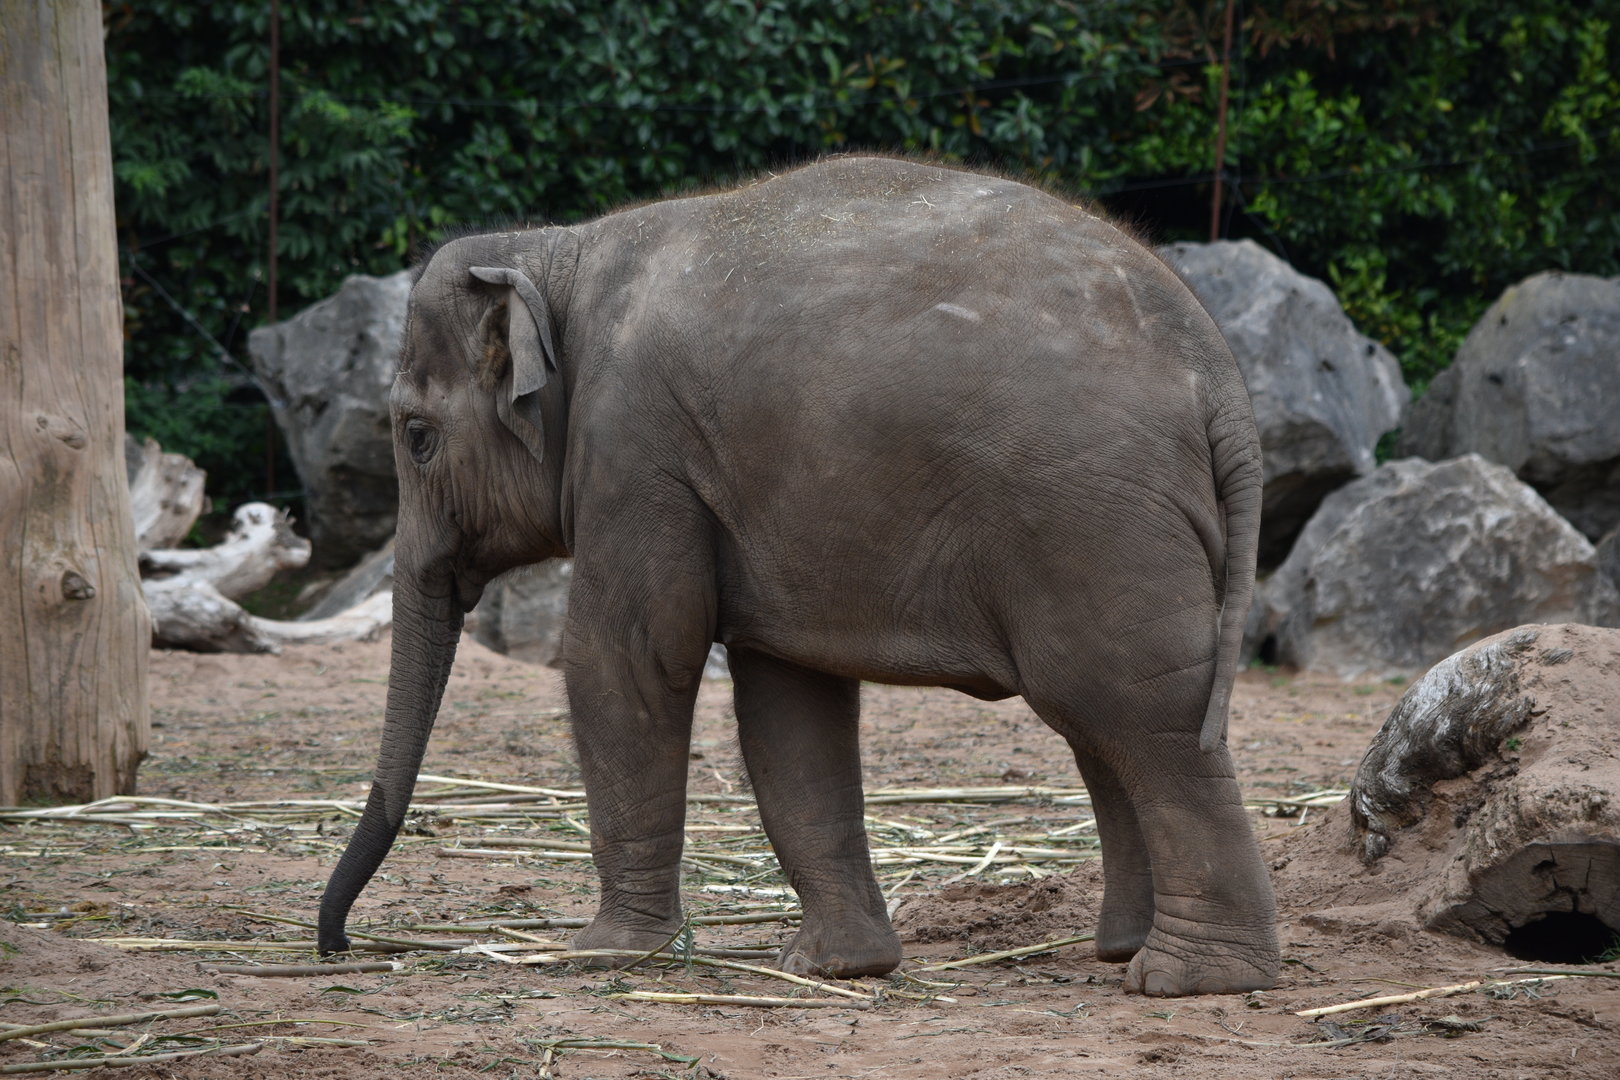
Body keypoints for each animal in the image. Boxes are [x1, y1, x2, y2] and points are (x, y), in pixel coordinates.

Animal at [317, 155, 1278, 996]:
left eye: (415, 436)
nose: (338, 945)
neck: (560, 251)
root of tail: (1219, 376)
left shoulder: (635, 451)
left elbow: (628, 659)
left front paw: (607, 953)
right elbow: (789, 703)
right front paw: (836, 968)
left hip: (1092, 519)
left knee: (1139, 707)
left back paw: (1191, 979)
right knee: (1101, 723)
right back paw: (1121, 950)